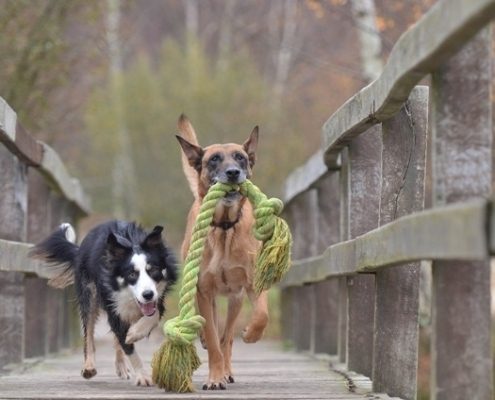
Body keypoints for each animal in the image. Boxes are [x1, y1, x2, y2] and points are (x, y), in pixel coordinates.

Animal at [31, 220, 178, 386]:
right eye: (132, 274)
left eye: (153, 270)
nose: (147, 295)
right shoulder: (112, 305)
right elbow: (128, 346)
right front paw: (143, 376)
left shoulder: (158, 298)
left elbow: (154, 314)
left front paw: (136, 332)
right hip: (88, 294)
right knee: (89, 333)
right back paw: (89, 367)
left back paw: (121, 365)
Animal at [176, 115, 270, 390]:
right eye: (214, 159)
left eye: (240, 157)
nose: (233, 172)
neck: (225, 227)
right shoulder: (203, 291)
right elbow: (212, 338)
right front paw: (214, 378)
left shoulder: (253, 283)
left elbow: (261, 314)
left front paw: (251, 334)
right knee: (214, 334)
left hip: (235, 300)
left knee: (227, 337)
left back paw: (229, 367)